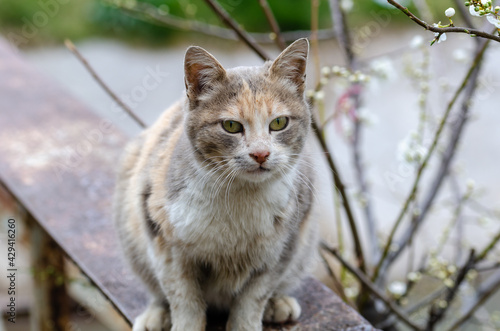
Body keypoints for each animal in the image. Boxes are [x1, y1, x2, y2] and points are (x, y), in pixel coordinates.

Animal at [113, 39, 318, 331]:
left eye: (279, 123)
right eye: (231, 126)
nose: (260, 154)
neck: (239, 199)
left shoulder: (281, 250)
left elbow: (253, 299)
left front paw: (247, 323)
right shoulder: (166, 244)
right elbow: (183, 298)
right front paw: (183, 324)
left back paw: (278, 304)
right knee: (156, 289)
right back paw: (156, 316)